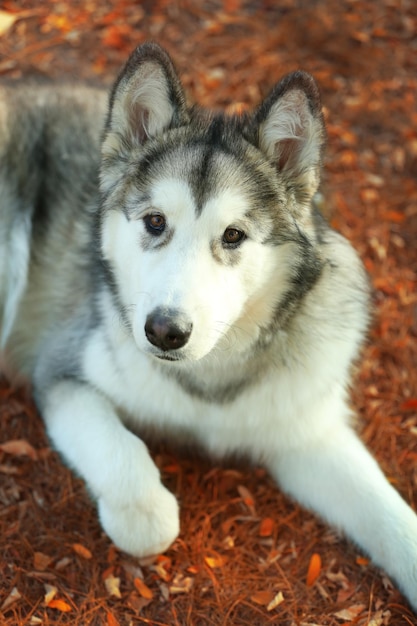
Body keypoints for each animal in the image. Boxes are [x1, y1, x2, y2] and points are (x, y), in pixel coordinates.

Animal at [0, 41, 416, 608]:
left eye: (234, 234)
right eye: (155, 222)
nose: (164, 331)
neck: (209, 379)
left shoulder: (305, 429)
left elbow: (393, 517)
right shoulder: (63, 373)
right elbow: (139, 493)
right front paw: (144, 509)